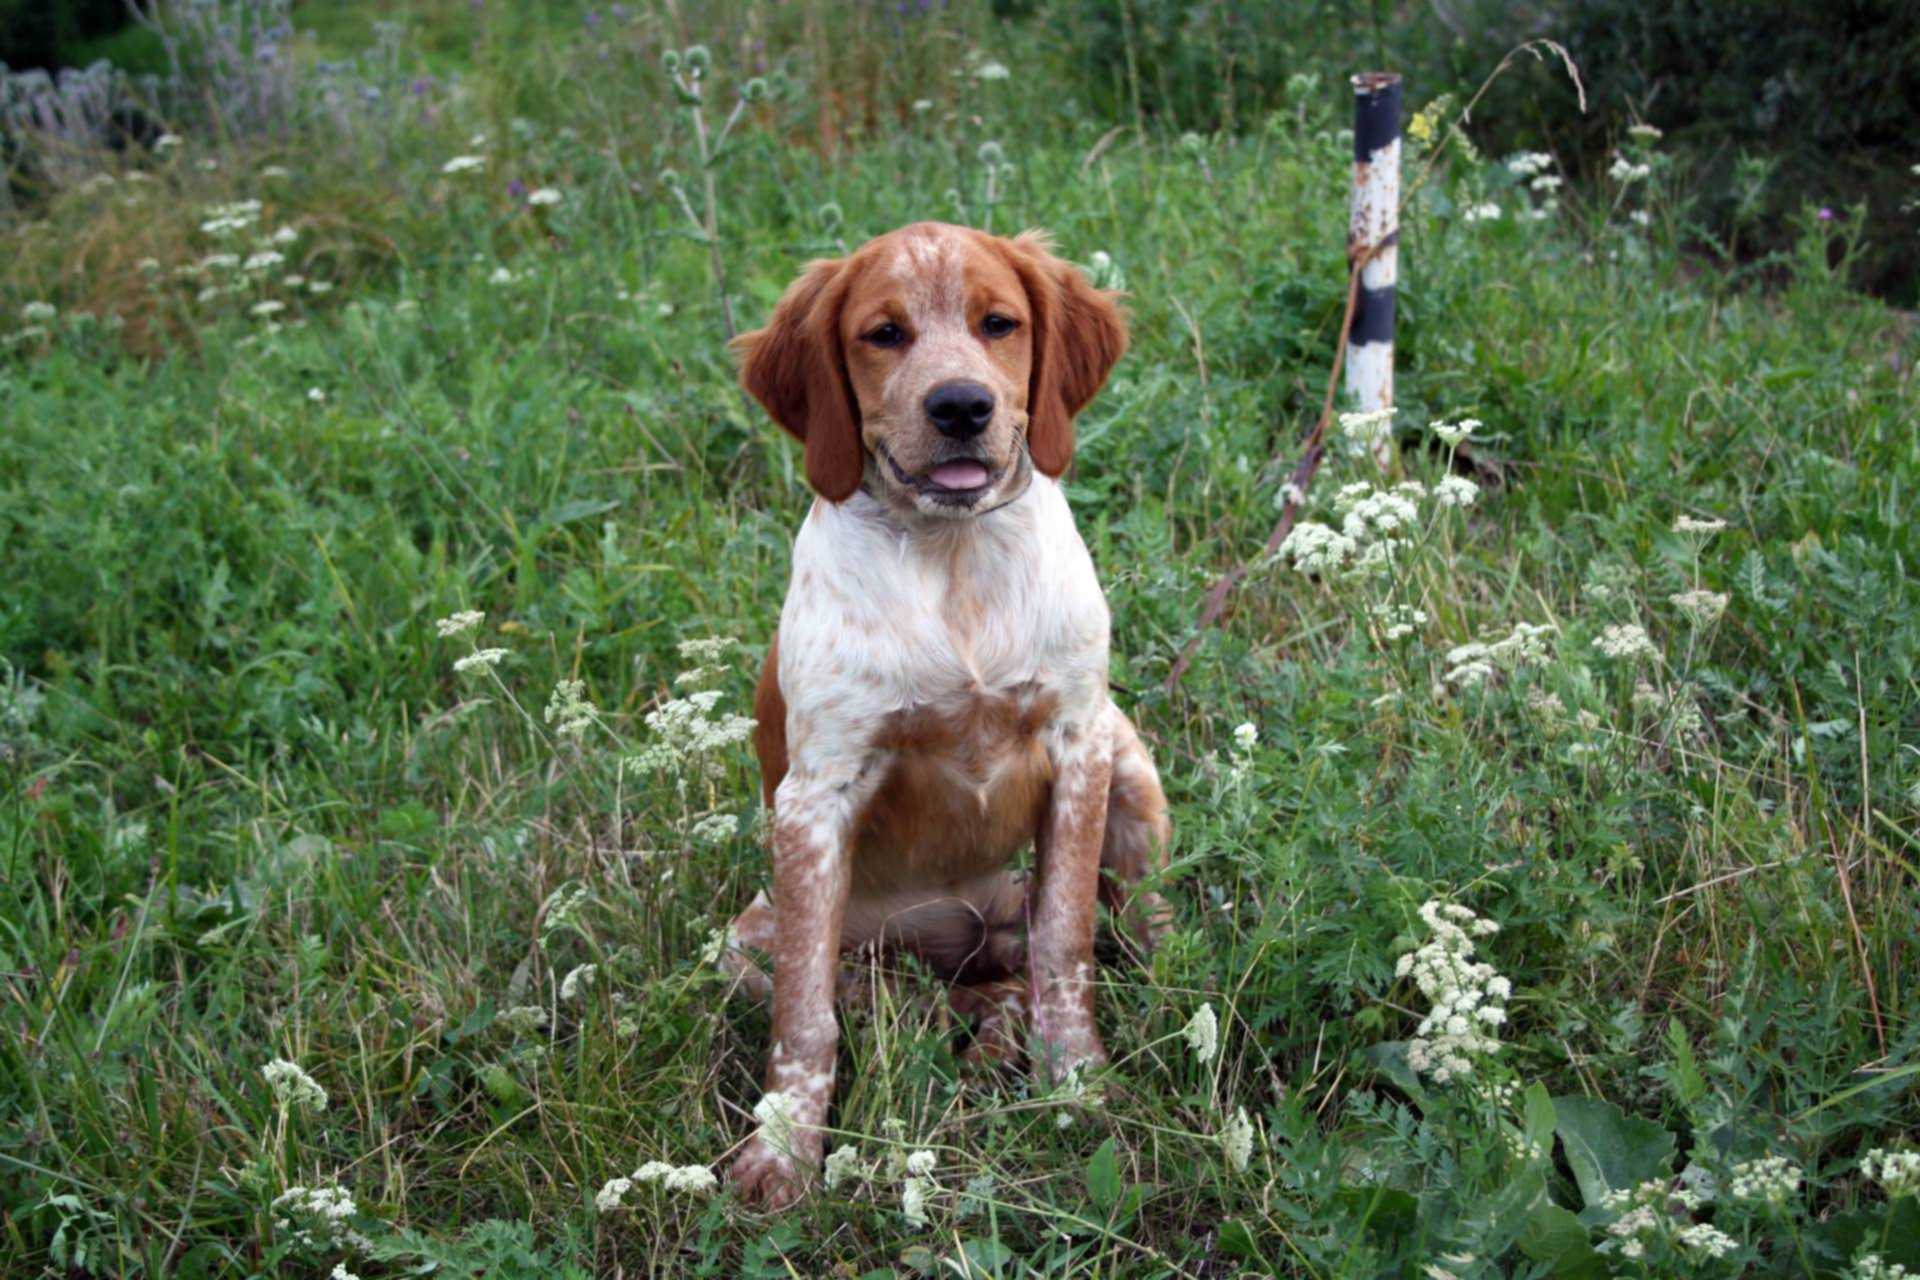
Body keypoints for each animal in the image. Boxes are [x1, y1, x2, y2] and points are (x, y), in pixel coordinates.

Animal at [721, 222, 1167, 1212]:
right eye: (883, 334)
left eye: (999, 323)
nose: (960, 405)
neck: (952, 554)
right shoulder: (814, 803)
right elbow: (804, 1014)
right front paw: (784, 1151)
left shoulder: (1080, 745)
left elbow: (1066, 942)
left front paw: (1077, 1083)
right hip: (746, 939)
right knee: (903, 997)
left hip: (1131, 763)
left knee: (1101, 935)